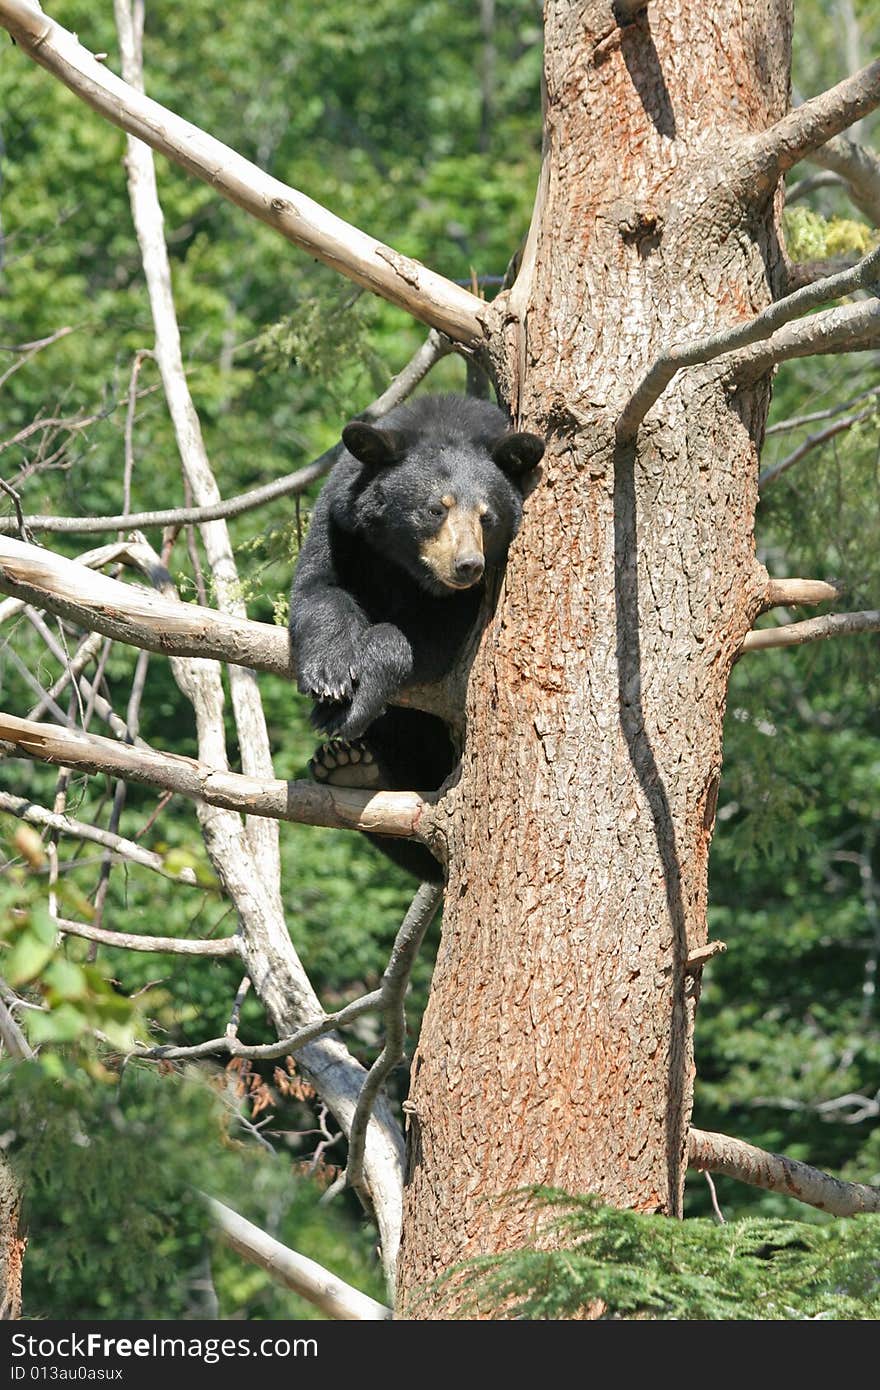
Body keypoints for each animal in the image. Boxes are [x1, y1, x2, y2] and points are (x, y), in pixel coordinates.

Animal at [290, 391, 542, 872]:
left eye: (487, 517)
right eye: (434, 508)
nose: (468, 565)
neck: (404, 566)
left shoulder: (464, 605)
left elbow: (425, 641)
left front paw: (354, 699)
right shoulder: (341, 526)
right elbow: (319, 588)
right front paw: (330, 679)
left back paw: (354, 768)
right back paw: (349, 766)